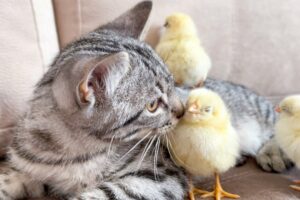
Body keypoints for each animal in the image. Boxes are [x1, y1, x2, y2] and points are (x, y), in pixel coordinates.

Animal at [0, 0, 292, 199]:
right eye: (152, 106)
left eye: (173, 84)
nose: (182, 110)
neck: (64, 153)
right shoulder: (25, 166)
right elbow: (8, 178)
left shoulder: (157, 176)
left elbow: (101, 194)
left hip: (262, 115)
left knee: (276, 125)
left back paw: (273, 152)